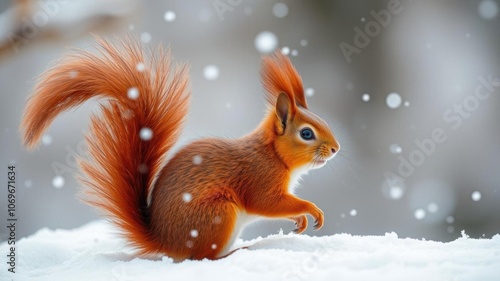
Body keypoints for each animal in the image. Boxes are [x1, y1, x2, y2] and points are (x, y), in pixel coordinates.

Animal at [19, 36, 340, 260]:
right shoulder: (260, 178)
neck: (273, 154)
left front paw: (300, 219)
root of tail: (164, 241)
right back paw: (234, 252)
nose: (336, 149)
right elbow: (268, 204)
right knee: (202, 257)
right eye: (307, 133)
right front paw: (311, 210)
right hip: (218, 213)